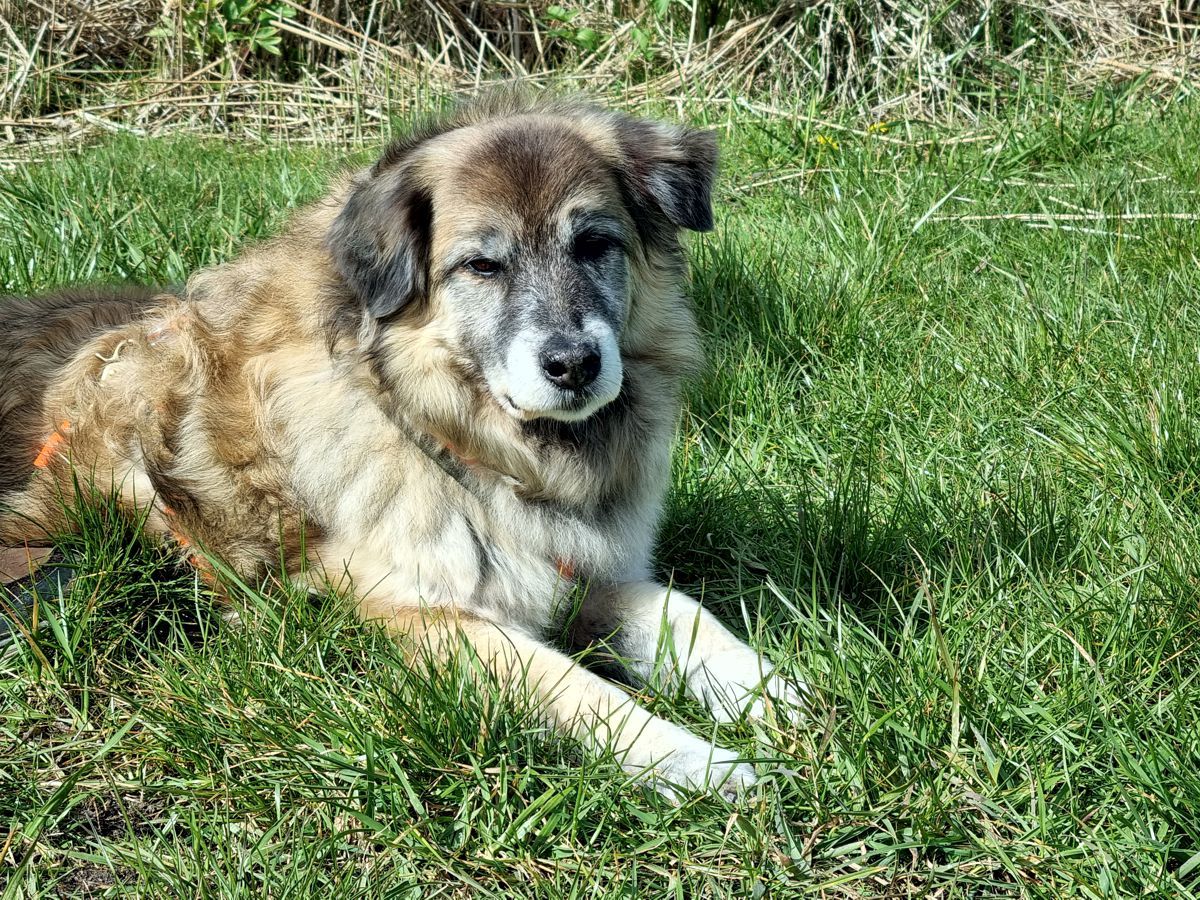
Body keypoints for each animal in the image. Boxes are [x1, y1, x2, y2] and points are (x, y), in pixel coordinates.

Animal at [4, 90, 806, 796]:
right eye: (482, 265)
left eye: (595, 245)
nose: (575, 364)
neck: (459, 447)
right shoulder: (415, 616)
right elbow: (571, 684)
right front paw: (690, 760)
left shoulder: (584, 572)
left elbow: (689, 617)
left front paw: (782, 699)